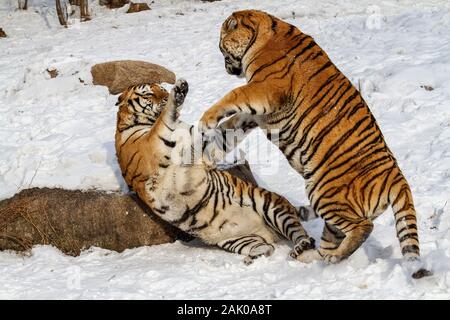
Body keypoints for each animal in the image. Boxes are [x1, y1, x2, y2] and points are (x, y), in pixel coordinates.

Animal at [114, 79, 314, 264]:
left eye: (162, 89)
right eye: (149, 94)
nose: (164, 95)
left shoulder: (203, 150)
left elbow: (226, 129)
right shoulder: (153, 144)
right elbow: (166, 119)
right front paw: (178, 91)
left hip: (270, 206)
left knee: (299, 233)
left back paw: (298, 247)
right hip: (238, 239)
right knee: (272, 246)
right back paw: (257, 256)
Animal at [199, 10, 430, 278]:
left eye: (221, 48)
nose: (227, 69)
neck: (263, 34)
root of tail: (398, 177)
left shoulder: (265, 89)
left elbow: (234, 95)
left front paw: (206, 119)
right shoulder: (256, 113)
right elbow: (233, 124)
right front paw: (212, 137)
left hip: (324, 192)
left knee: (363, 227)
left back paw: (333, 256)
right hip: (331, 213)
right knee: (331, 241)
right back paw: (311, 256)